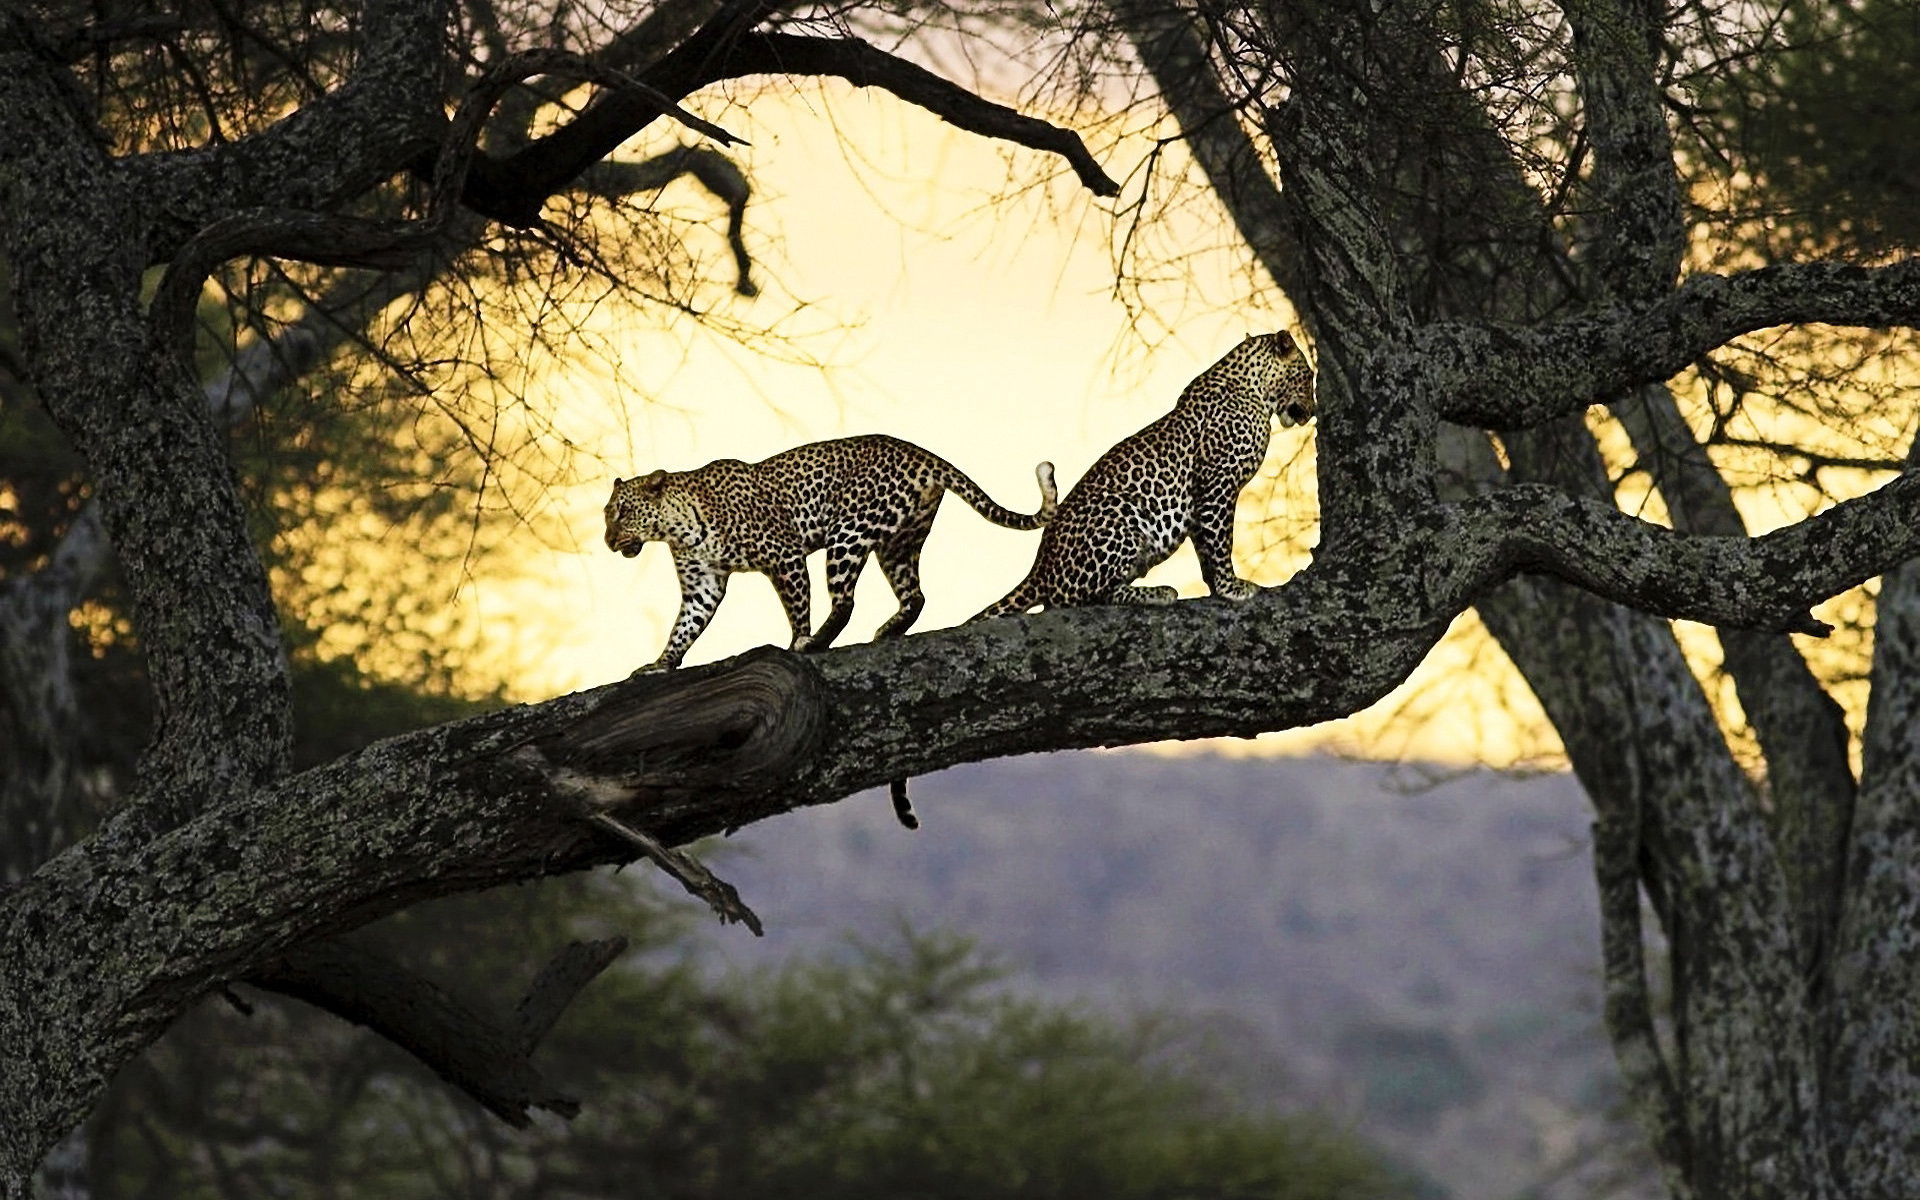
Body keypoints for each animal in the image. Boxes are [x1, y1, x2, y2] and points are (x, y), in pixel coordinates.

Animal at [606, 430, 1059, 675]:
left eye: (623, 512)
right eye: (606, 515)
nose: (608, 541)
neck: (676, 529)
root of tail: (920, 453)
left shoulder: (784, 555)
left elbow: (797, 606)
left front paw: (798, 641)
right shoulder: (703, 583)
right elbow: (684, 626)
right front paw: (661, 663)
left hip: (848, 534)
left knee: (845, 602)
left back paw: (817, 643)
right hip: (898, 543)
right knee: (915, 596)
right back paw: (888, 630)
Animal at [967, 330, 1313, 618]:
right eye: (1308, 376)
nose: (1312, 412)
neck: (1256, 391)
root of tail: (1039, 567)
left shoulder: (1203, 498)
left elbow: (1205, 546)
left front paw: (1217, 587)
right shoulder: (1218, 485)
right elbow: (1220, 541)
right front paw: (1233, 588)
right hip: (1120, 512)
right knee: (1086, 597)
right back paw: (1157, 592)